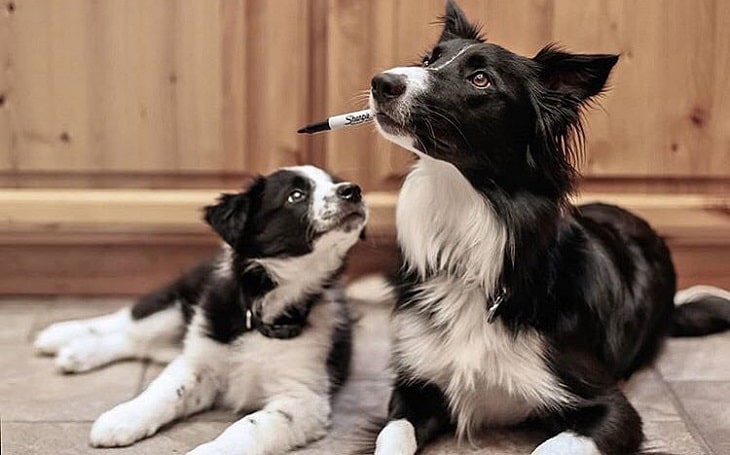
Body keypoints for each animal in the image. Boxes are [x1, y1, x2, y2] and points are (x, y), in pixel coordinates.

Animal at [33, 166, 366, 454]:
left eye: (336, 182)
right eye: (296, 195)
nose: (353, 190)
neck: (262, 303)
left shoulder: (302, 396)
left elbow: (251, 425)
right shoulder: (200, 359)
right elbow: (165, 392)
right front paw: (123, 417)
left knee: (135, 342)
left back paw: (75, 353)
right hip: (179, 302)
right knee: (129, 321)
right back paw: (60, 337)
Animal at [366, 1, 728, 454]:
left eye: (480, 79)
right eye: (430, 60)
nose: (381, 82)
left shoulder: (609, 407)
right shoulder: (414, 389)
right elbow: (392, 434)